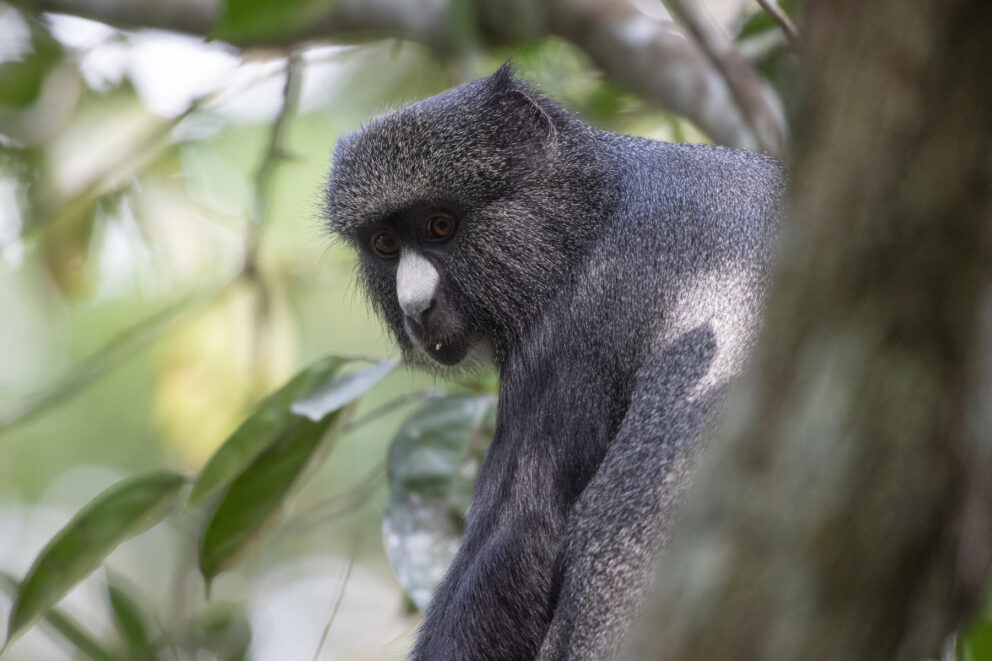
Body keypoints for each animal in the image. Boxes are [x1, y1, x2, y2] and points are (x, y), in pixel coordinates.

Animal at [323, 64, 785, 660]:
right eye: (384, 243)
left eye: (440, 227)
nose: (416, 307)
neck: (593, 204)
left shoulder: (567, 332)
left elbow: (520, 533)